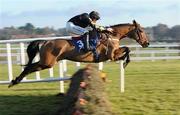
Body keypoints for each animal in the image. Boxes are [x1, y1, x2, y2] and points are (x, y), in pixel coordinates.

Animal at [8, 20, 149, 87]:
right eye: (141, 31)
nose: (147, 43)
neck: (112, 35)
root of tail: (46, 41)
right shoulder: (111, 55)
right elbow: (127, 49)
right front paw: (125, 61)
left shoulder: (112, 55)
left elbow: (127, 49)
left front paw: (125, 61)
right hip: (47, 63)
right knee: (29, 67)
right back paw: (15, 81)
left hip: (47, 62)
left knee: (30, 67)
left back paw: (15, 81)